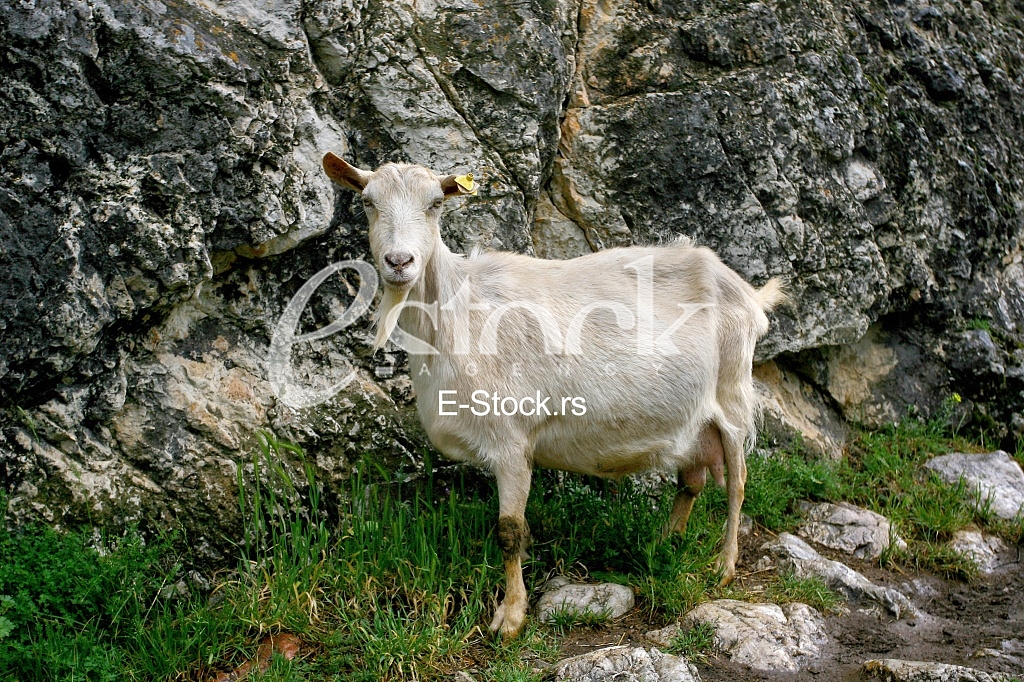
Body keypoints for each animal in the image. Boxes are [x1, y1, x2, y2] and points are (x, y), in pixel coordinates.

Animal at [322, 152, 785, 639]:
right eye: (368, 202)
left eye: (435, 204)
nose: (398, 261)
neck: (455, 313)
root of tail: (746, 291)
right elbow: (519, 532)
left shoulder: (511, 440)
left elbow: (509, 531)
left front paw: (510, 617)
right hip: (693, 420)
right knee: (691, 480)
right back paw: (664, 543)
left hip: (732, 395)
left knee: (738, 482)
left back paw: (724, 566)